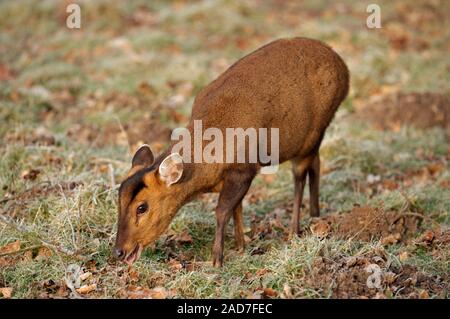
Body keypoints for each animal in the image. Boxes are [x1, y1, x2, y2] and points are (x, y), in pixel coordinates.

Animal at [114, 37, 350, 268]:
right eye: (119, 200)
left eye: (142, 207)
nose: (118, 251)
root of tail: (343, 68)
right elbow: (237, 208)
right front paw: (240, 247)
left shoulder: (243, 169)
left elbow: (221, 211)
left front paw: (216, 260)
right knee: (316, 163)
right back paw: (315, 215)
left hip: (314, 130)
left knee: (299, 176)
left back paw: (295, 230)